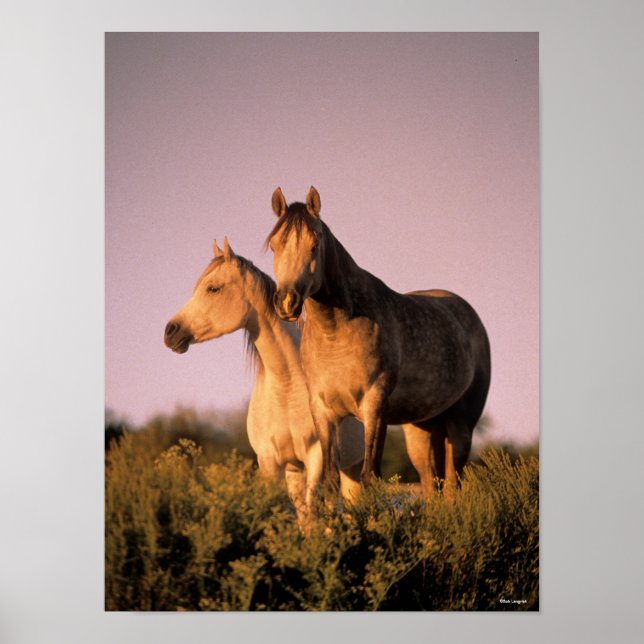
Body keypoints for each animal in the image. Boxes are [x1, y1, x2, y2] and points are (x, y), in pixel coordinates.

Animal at [163, 237, 365, 521]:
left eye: (213, 288)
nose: (170, 332)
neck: (287, 387)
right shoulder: (272, 462)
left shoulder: (315, 457)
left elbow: (312, 515)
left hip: (353, 466)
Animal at [267, 187, 491, 499]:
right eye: (275, 245)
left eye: (314, 244)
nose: (287, 302)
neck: (336, 333)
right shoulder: (324, 412)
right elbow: (330, 482)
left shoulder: (374, 406)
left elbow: (369, 476)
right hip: (422, 429)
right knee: (431, 485)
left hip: (462, 425)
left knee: (451, 486)